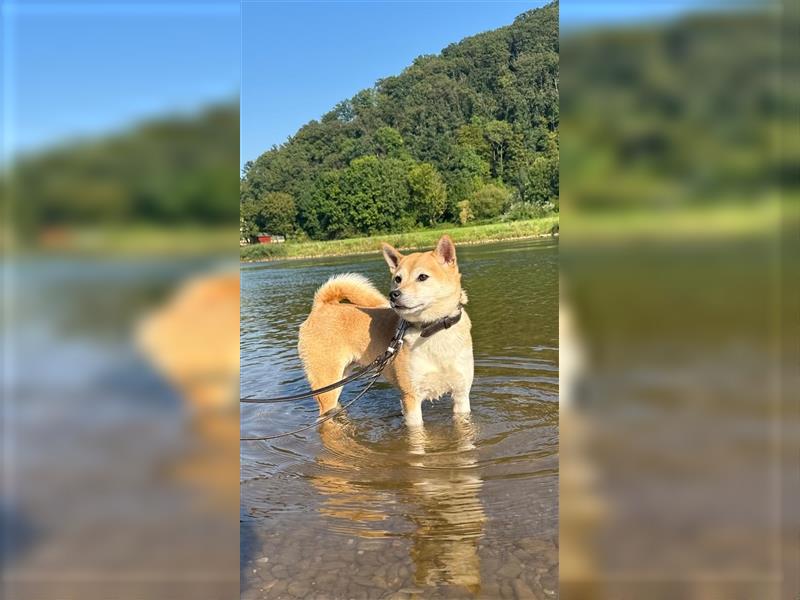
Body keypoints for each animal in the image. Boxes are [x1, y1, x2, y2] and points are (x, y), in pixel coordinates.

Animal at [300, 234, 476, 426]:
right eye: (398, 279)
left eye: (422, 277)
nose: (394, 294)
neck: (432, 330)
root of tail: (321, 306)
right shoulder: (411, 397)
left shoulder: (461, 395)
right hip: (325, 384)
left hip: (339, 380)